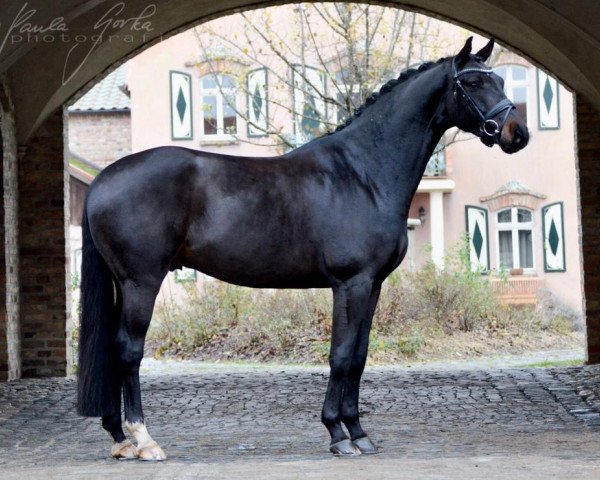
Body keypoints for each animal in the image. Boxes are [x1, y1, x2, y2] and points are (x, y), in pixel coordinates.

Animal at [76, 36, 528, 458]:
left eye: (503, 80)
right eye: (473, 82)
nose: (517, 134)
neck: (364, 172)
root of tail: (104, 179)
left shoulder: (373, 286)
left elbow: (359, 357)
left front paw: (358, 432)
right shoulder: (350, 283)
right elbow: (341, 355)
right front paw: (337, 434)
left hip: (124, 285)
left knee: (114, 352)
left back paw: (120, 438)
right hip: (141, 282)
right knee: (129, 351)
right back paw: (143, 439)